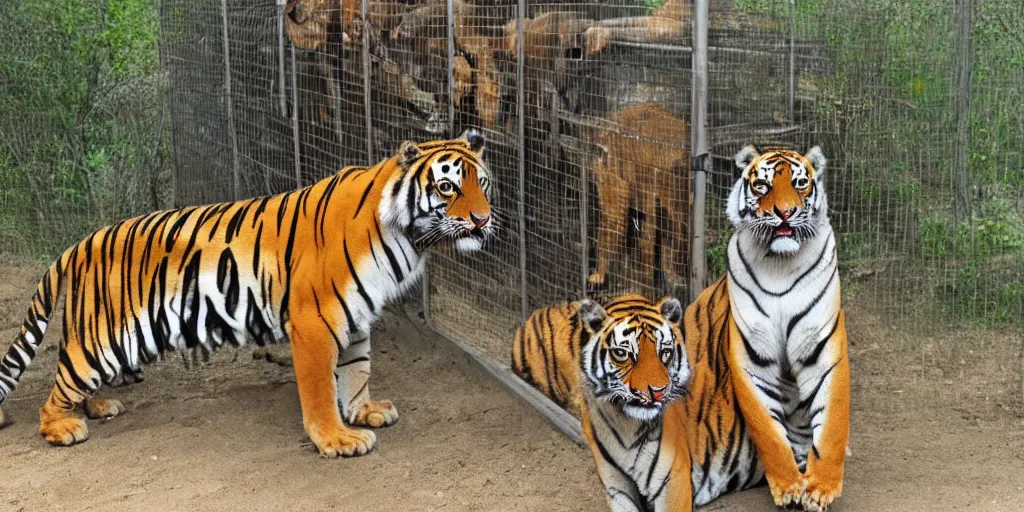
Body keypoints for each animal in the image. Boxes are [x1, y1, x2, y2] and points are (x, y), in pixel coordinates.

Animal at [0, 130, 495, 458]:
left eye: (483, 183)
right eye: (447, 186)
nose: (483, 220)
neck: (407, 239)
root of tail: (80, 242)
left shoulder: (355, 316)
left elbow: (357, 372)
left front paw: (363, 412)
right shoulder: (314, 320)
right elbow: (320, 387)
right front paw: (336, 438)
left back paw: (99, 407)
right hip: (100, 341)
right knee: (56, 391)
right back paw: (65, 428)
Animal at [512, 145, 847, 512]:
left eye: (801, 184)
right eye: (762, 186)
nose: (785, 213)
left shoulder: (671, 485)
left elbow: (829, 417)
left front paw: (818, 484)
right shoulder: (617, 488)